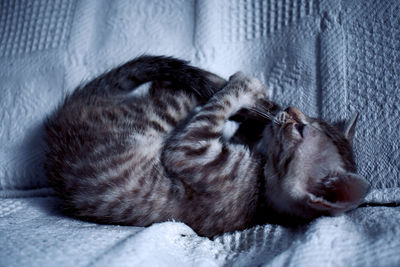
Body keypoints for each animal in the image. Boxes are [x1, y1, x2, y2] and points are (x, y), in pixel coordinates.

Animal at [44, 55, 368, 238]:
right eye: (310, 120)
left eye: (301, 129)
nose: (291, 109)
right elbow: (248, 125)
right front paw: (260, 111)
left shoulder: (193, 152)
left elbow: (218, 107)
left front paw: (248, 92)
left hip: (160, 114)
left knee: (174, 90)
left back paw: (229, 83)